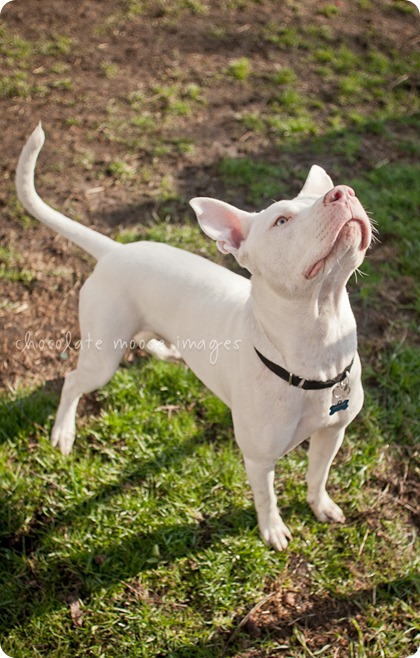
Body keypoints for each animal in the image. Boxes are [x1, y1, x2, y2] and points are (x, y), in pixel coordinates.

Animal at [16, 123, 372, 548]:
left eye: (321, 196)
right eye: (281, 221)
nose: (344, 192)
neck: (319, 340)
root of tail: (116, 250)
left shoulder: (332, 433)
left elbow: (318, 476)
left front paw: (321, 506)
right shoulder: (259, 459)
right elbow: (266, 498)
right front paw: (272, 530)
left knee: (142, 338)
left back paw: (164, 351)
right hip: (102, 357)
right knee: (72, 381)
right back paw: (63, 433)